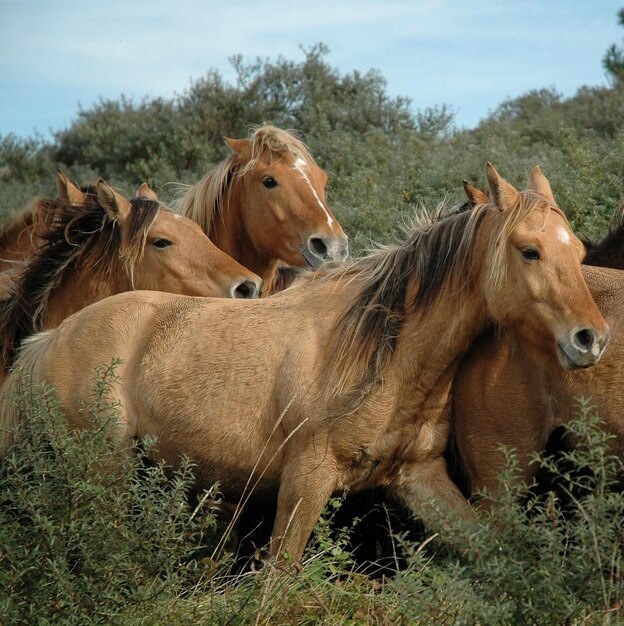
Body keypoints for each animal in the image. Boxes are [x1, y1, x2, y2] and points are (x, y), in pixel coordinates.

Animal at [1, 163, 608, 564]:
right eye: (529, 251)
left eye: (579, 252)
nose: (592, 339)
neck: (384, 352)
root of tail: (49, 339)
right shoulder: (307, 479)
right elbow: (278, 579)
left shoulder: (419, 478)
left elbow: (499, 552)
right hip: (104, 470)